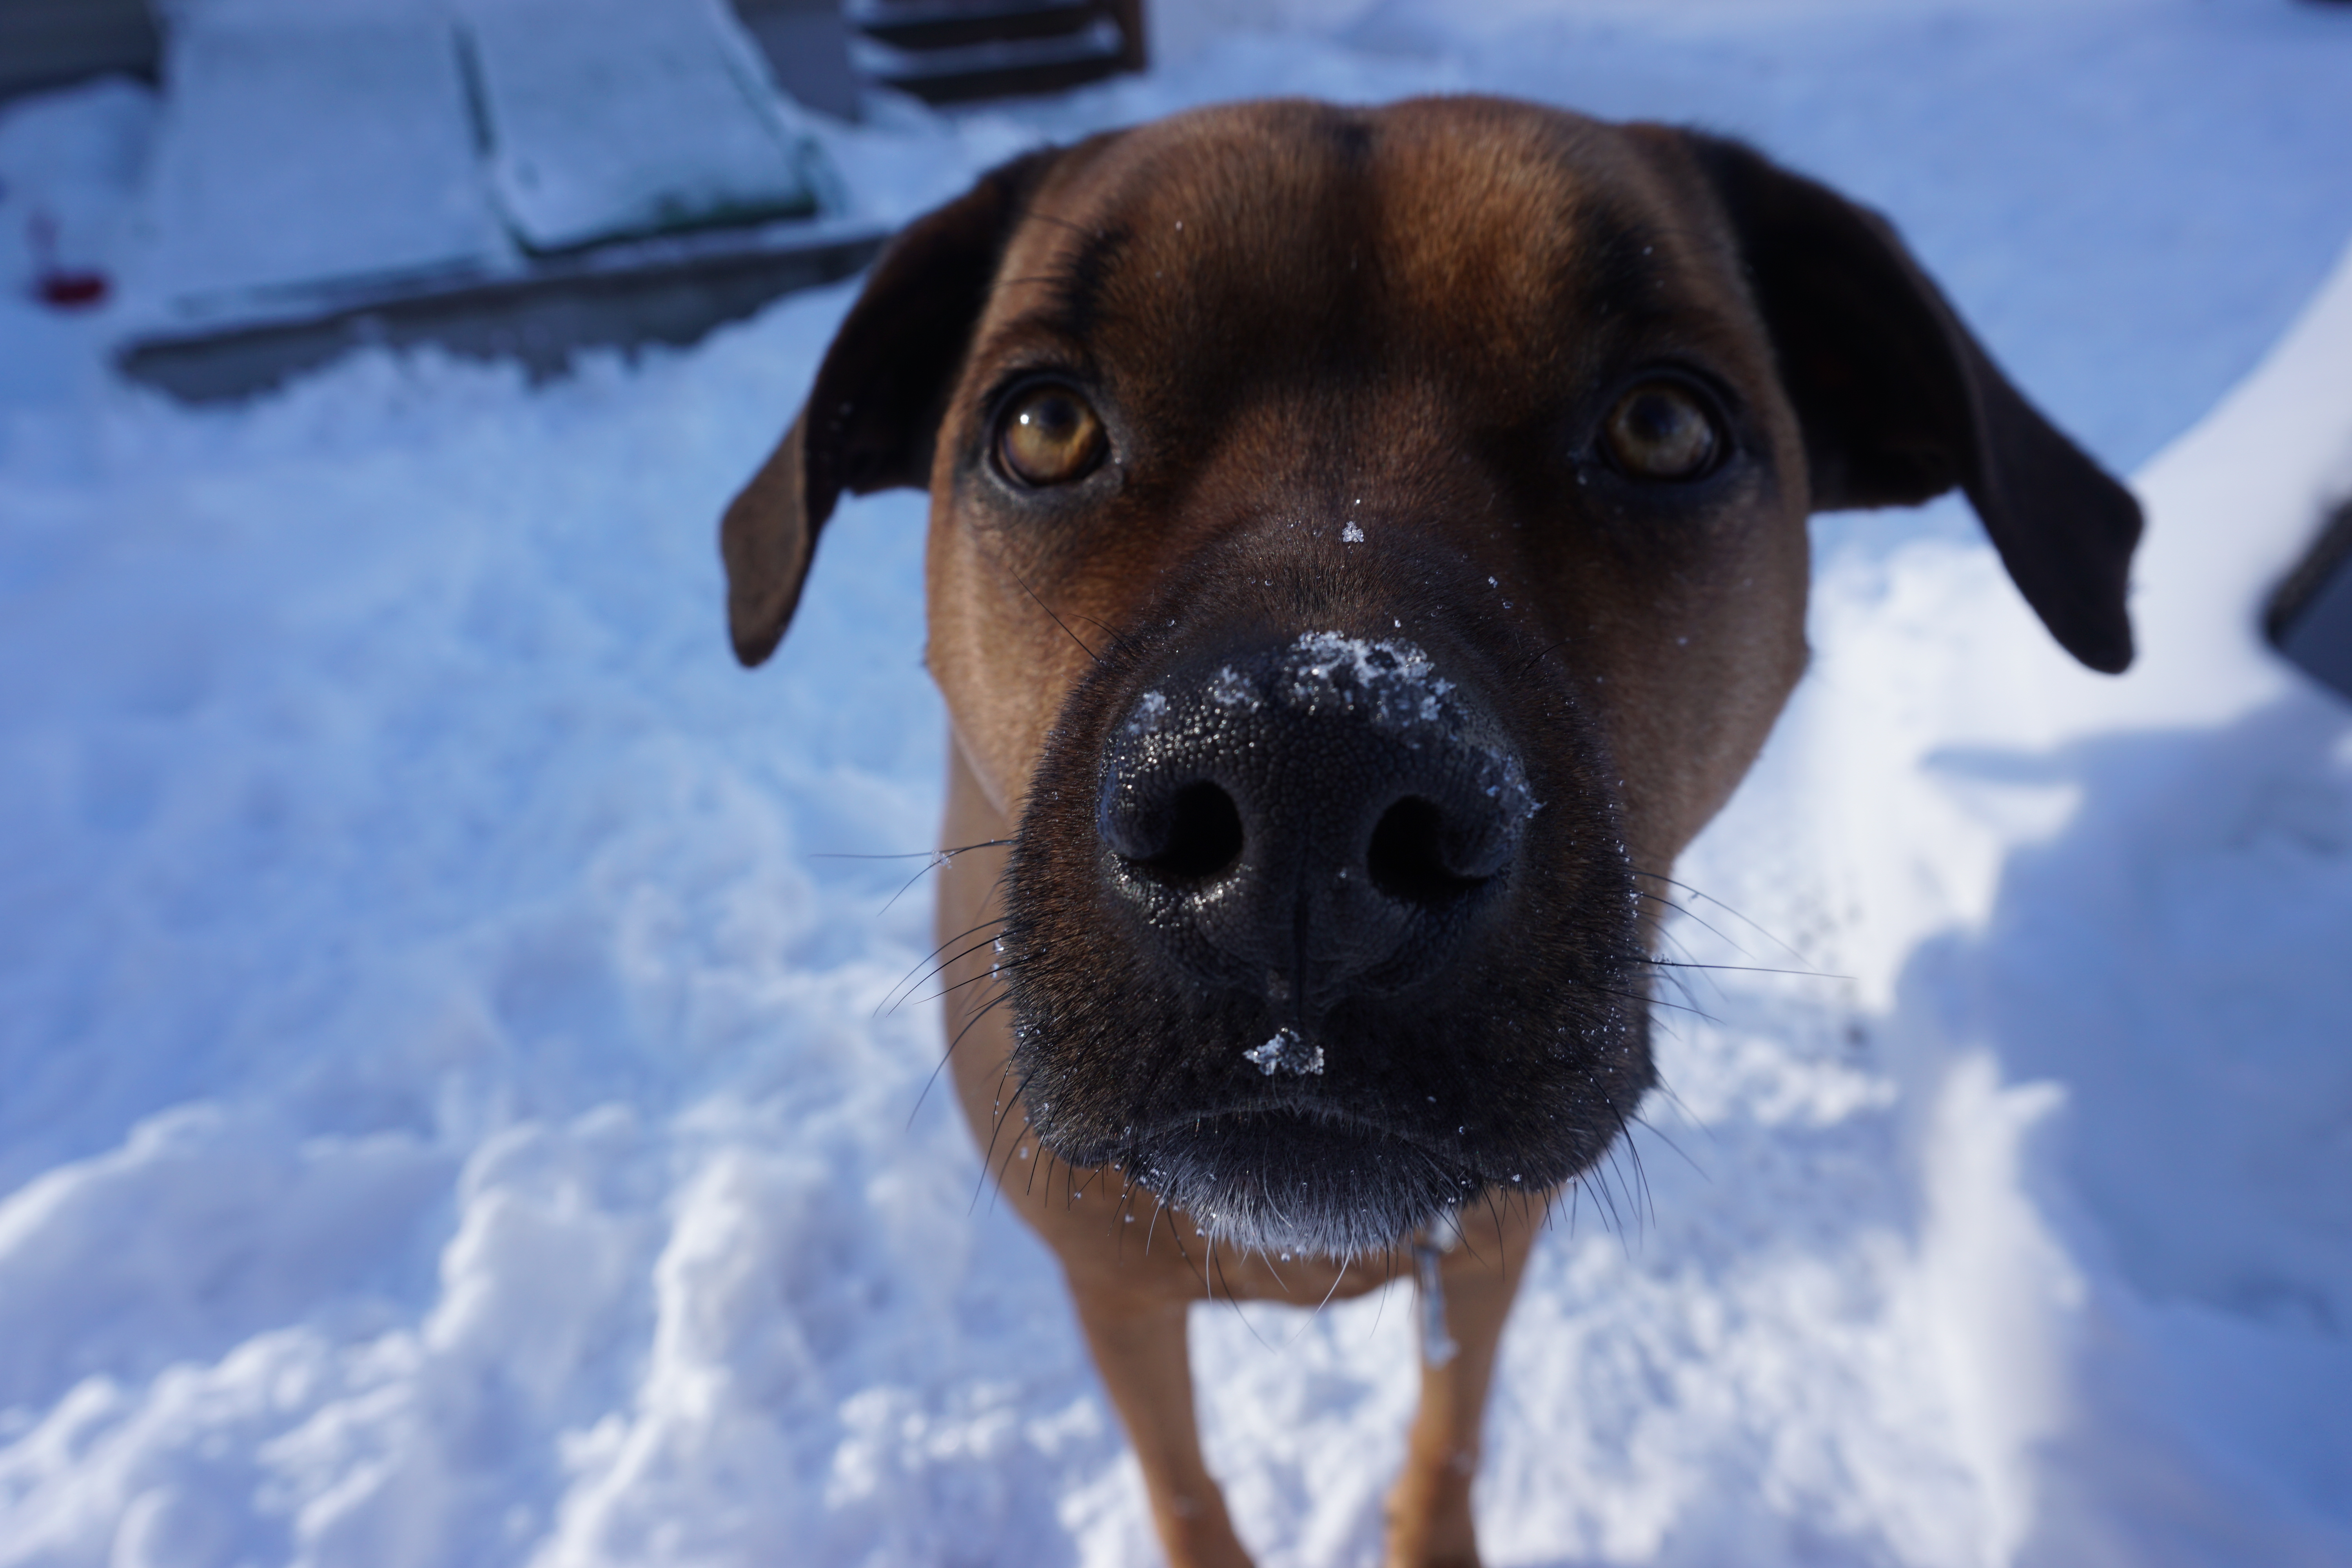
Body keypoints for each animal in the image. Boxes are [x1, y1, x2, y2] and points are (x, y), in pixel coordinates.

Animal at [718, 96, 2139, 1568]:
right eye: (1044, 424)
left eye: (1665, 426)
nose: (1303, 792)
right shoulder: (1110, 1286)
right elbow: (1183, 1479)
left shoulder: (1489, 1251)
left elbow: (1448, 1430)